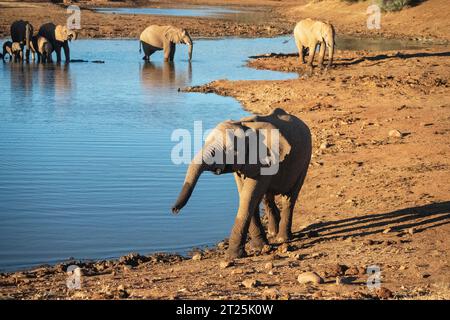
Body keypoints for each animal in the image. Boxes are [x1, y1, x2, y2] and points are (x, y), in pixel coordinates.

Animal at [171, 109, 312, 258]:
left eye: (232, 151)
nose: (174, 210)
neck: (243, 125)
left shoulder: (265, 161)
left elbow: (249, 196)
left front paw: (233, 256)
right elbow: (246, 194)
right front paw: (258, 247)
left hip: (305, 160)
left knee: (290, 198)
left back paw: (282, 238)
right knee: (268, 198)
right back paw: (273, 233)